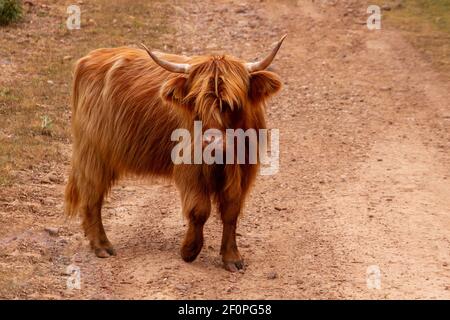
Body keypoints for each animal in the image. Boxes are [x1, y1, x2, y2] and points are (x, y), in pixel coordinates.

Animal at [64, 35, 284, 272]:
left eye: (232, 104)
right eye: (196, 103)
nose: (210, 143)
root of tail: (90, 57)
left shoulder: (243, 170)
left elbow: (231, 210)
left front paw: (231, 258)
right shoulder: (191, 168)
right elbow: (200, 210)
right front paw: (189, 251)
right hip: (93, 153)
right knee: (92, 196)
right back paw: (102, 246)